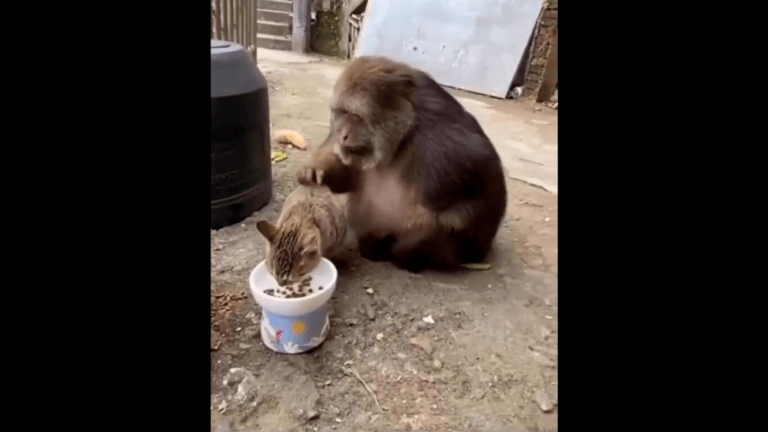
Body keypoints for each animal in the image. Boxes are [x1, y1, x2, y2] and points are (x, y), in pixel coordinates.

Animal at [298, 56, 507, 272]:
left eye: (355, 115)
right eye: (340, 113)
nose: (342, 135)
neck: (401, 138)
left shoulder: (442, 144)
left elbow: (476, 196)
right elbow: (349, 180)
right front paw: (316, 171)